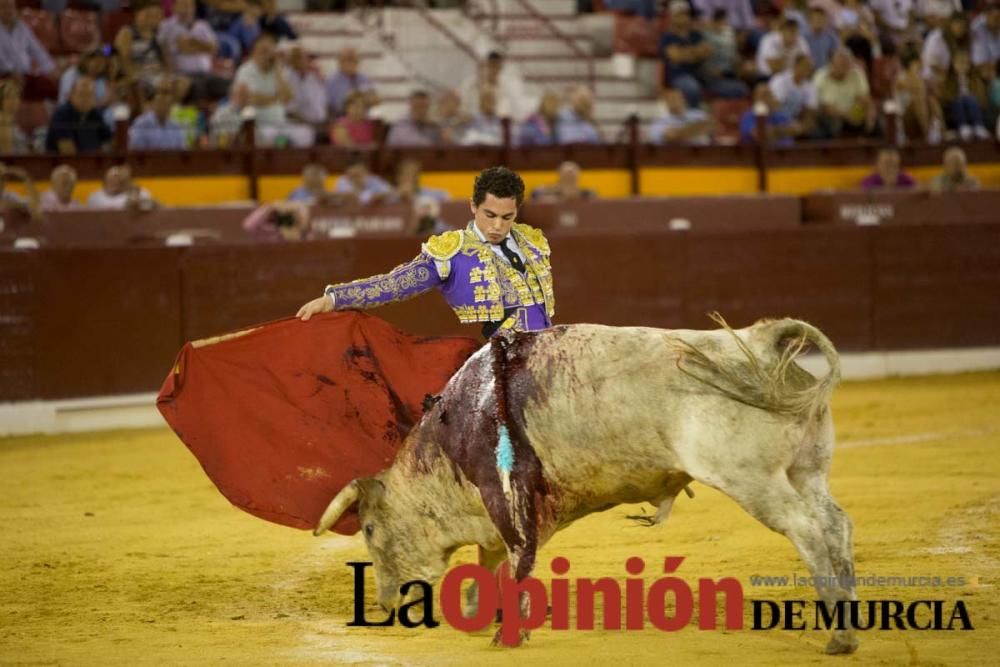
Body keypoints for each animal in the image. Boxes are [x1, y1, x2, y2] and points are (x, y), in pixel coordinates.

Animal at [314, 316, 860, 656]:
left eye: (368, 528)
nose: (385, 603)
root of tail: (760, 340)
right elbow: (493, 559)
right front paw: (479, 611)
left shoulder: (504, 496)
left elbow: (516, 558)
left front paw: (507, 633)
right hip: (806, 470)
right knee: (836, 525)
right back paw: (849, 628)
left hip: (752, 479)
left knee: (808, 530)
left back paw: (838, 635)